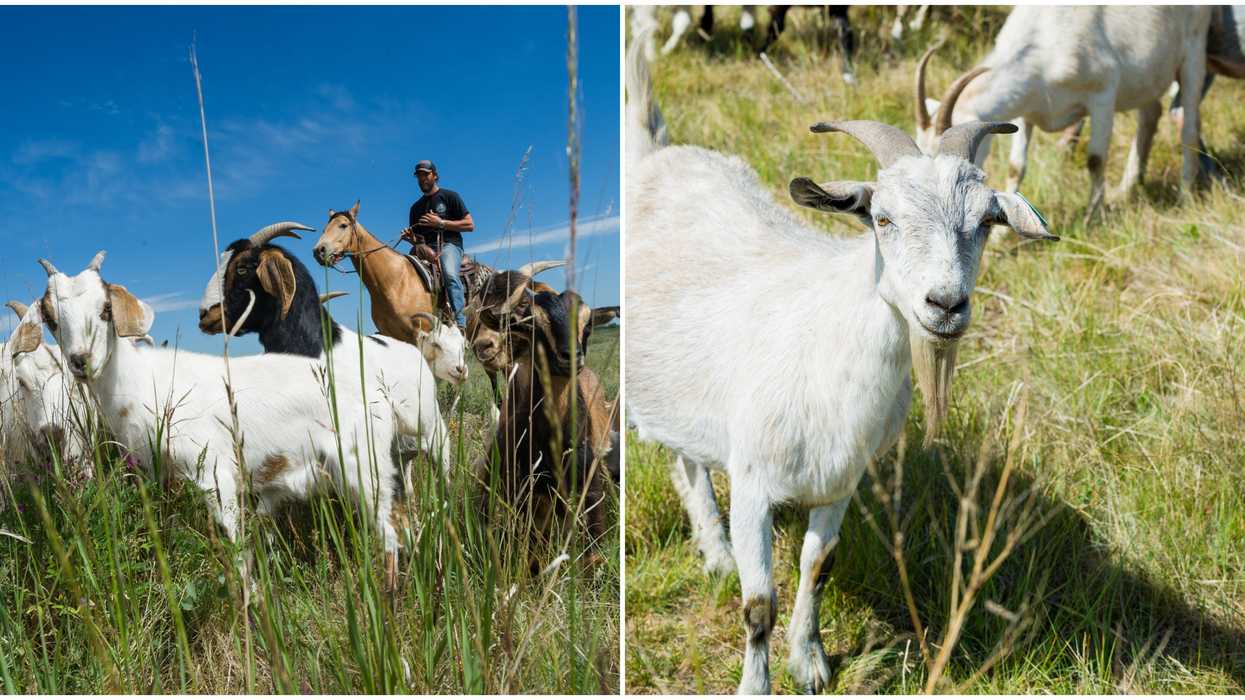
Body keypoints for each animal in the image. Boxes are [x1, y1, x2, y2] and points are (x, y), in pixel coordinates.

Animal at [25, 252, 408, 593]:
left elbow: (236, 548)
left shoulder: (214, 472)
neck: (144, 379)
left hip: (364, 466)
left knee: (391, 530)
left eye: (105, 310)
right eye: (51, 319)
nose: (80, 360)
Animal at [626, 36, 1056, 694]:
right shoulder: (753, 483)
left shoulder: (840, 482)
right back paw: (718, 555)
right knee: (686, 464)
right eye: (882, 218)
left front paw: (810, 662)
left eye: (987, 220)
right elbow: (759, 604)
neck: (827, 346)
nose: (945, 304)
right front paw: (756, 683)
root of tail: (655, 153)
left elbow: (818, 566)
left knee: (687, 457)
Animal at [914, 6, 1211, 224]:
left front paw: (1092, 219)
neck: (1045, 40)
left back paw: (1185, 195)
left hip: (1194, 52)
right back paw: (1126, 189)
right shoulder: (1025, 113)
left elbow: (1095, 160)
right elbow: (1016, 167)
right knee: (1150, 114)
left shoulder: (1103, 95)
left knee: (1189, 126)